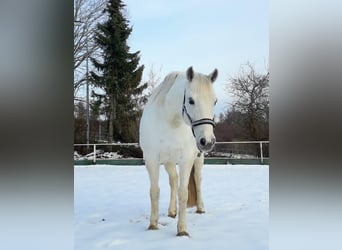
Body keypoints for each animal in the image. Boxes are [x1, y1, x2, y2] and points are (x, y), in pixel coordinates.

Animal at [138, 66, 216, 236]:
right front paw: (153, 225)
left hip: (198, 159)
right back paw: (172, 211)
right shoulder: (151, 160)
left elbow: (183, 193)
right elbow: (154, 191)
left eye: (215, 101)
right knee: (173, 180)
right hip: (169, 162)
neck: (170, 121)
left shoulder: (186, 160)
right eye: (191, 100)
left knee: (198, 180)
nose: (207, 141)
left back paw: (200, 208)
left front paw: (182, 230)